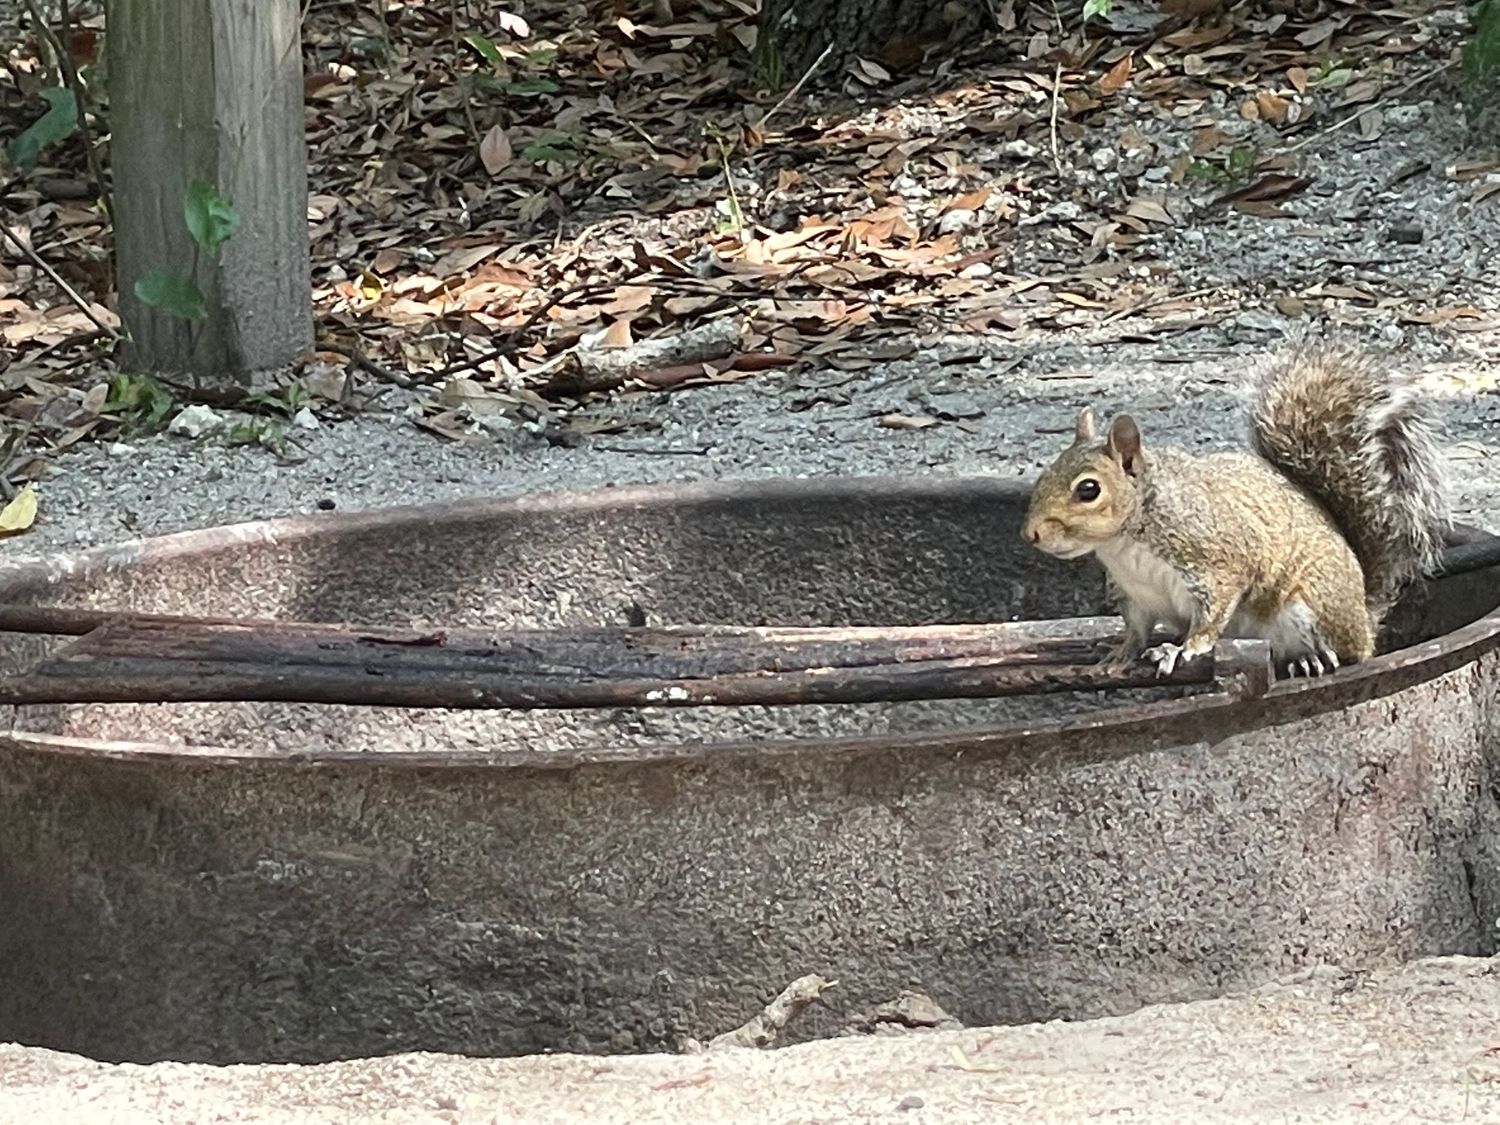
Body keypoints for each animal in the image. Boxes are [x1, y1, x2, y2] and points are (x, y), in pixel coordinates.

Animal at [1020, 337, 1451, 678]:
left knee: (1344, 653)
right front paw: (1122, 653)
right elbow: (1137, 629)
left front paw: (1183, 649)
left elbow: (1211, 618)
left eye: (1088, 489)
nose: (1031, 534)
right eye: (1046, 471)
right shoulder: (1134, 594)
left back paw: (1310, 659)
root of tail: (1363, 616)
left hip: (1310, 605)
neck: (1128, 541)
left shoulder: (1217, 564)